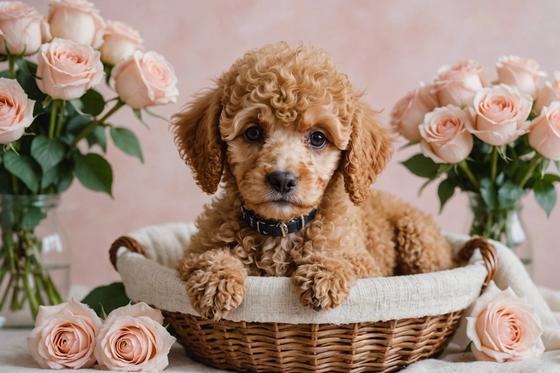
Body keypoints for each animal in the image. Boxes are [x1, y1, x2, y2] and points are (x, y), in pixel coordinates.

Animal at [172, 42, 456, 318]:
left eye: (318, 138)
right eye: (252, 133)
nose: (282, 179)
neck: (281, 229)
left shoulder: (366, 265)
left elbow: (341, 258)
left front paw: (325, 272)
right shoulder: (193, 252)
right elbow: (205, 256)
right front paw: (215, 280)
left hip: (418, 236)